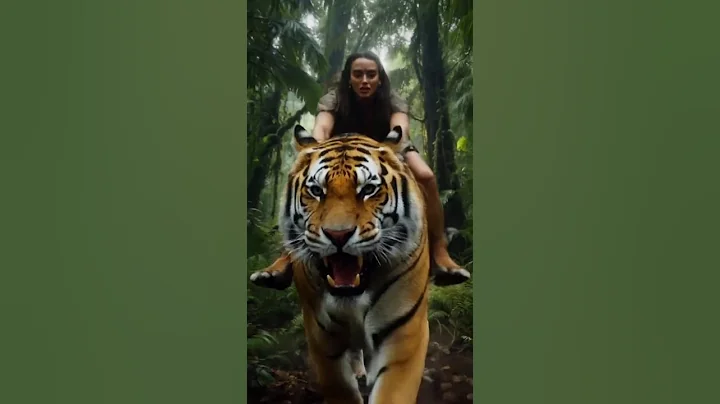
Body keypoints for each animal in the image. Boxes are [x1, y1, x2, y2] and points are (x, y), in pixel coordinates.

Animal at [251, 124, 432, 404]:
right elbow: (340, 386)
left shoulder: (404, 333)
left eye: (368, 190)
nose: (338, 235)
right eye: (317, 191)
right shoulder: (320, 335)